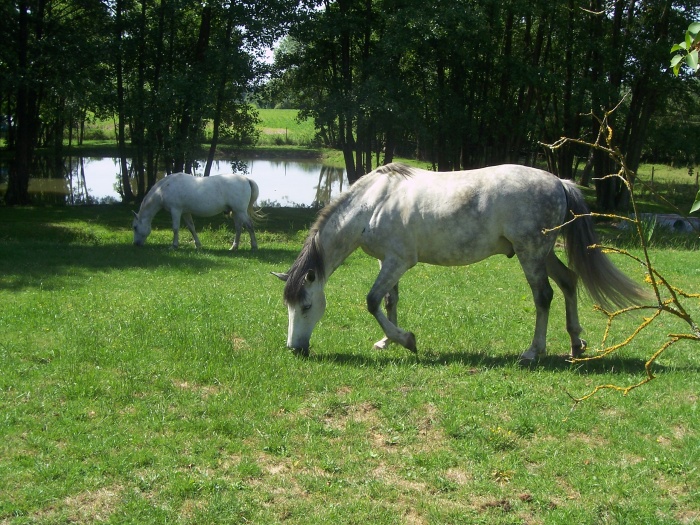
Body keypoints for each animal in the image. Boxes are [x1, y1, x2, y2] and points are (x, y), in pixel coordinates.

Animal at [132, 172, 260, 250]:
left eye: (135, 227)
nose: (136, 244)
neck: (163, 190)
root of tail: (246, 179)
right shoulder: (185, 212)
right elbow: (191, 228)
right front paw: (198, 245)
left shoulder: (176, 210)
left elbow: (175, 228)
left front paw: (174, 246)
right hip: (236, 212)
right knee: (239, 228)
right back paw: (234, 247)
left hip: (241, 211)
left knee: (249, 226)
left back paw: (254, 246)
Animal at [276, 162, 648, 362]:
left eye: (306, 306)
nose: (294, 349)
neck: (373, 203)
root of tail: (559, 182)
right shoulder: (388, 262)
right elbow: (389, 300)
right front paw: (387, 341)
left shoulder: (398, 261)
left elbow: (372, 301)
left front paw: (406, 340)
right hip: (543, 252)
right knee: (569, 281)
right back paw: (575, 343)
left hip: (530, 253)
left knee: (544, 297)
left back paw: (533, 351)